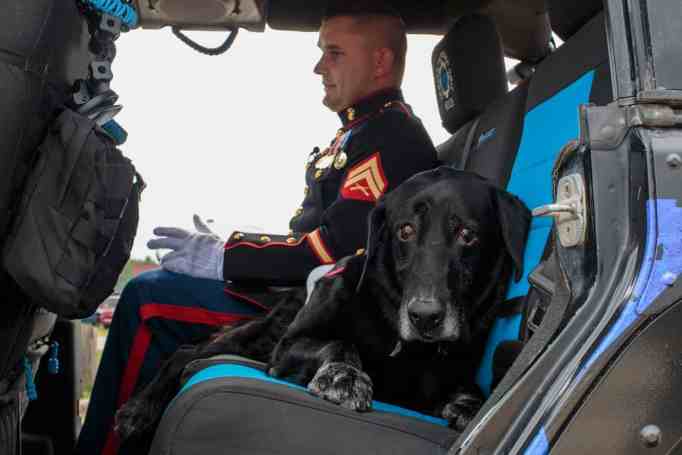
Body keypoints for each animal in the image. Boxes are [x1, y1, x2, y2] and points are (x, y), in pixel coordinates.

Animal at [114, 167, 528, 446]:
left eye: (467, 234)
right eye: (405, 230)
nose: (425, 317)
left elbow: (472, 387)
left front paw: (470, 404)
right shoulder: (292, 344)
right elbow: (339, 342)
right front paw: (345, 375)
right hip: (259, 339)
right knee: (185, 352)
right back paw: (139, 409)